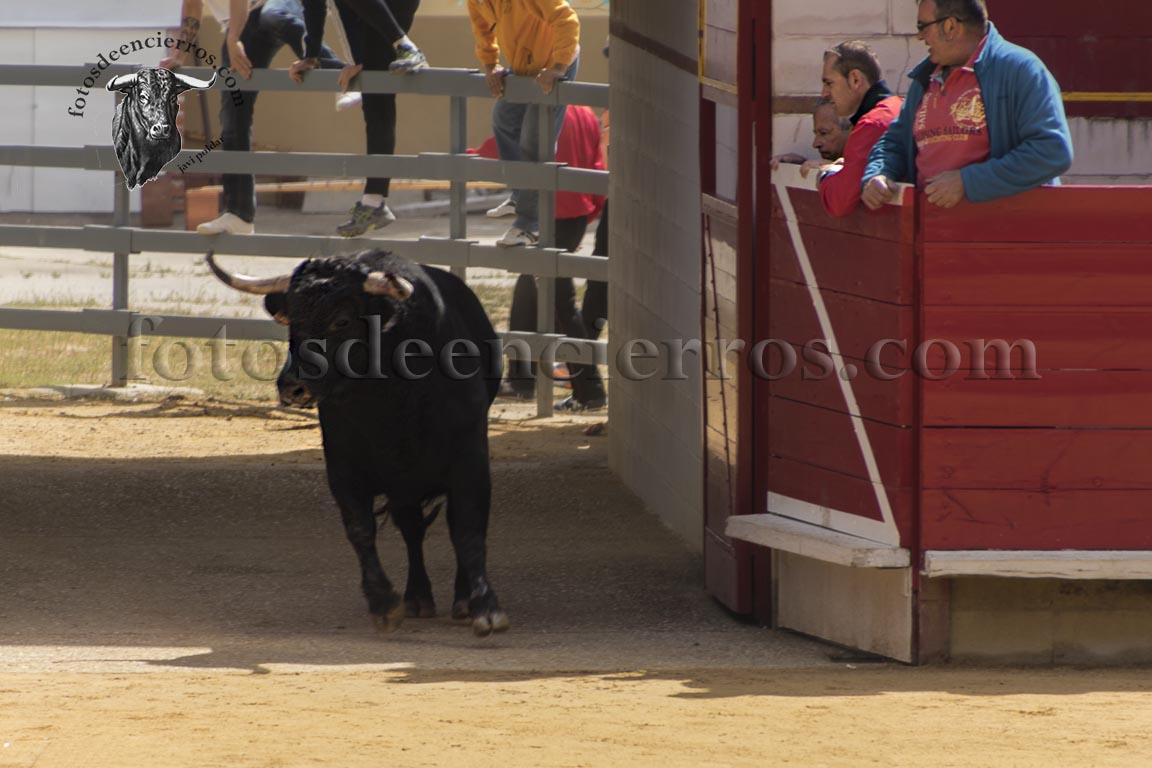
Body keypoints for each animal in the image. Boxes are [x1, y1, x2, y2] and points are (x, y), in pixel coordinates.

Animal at [206, 249, 510, 637]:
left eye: (342, 320)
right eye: (292, 321)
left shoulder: (469, 460)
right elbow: (361, 530)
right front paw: (383, 603)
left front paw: (485, 607)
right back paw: (417, 597)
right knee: (412, 530)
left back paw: (460, 600)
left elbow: (468, 530)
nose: (291, 387)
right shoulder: (344, 466)